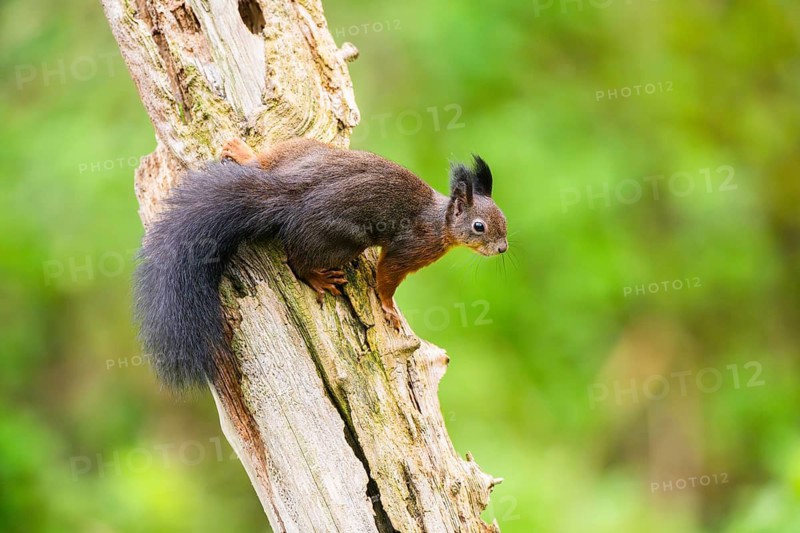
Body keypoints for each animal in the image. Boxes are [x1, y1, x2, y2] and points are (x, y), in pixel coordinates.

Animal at [134, 137, 508, 389]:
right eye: (479, 227)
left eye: (503, 219)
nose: (503, 248)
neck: (439, 222)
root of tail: (291, 194)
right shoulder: (408, 249)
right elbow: (386, 278)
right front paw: (389, 311)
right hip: (343, 239)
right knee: (297, 260)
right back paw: (318, 279)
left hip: (303, 151)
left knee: (262, 163)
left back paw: (241, 151)